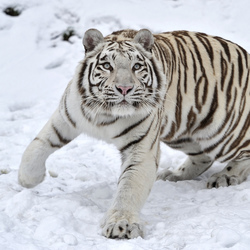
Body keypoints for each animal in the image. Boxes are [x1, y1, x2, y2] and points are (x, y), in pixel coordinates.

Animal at [19, 28, 250, 239]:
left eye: (136, 66)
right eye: (107, 66)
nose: (124, 88)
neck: (105, 114)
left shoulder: (141, 148)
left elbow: (129, 188)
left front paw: (121, 225)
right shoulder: (66, 117)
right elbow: (37, 145)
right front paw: (28, 180)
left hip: (221, 132)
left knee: (243, 151)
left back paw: (225, 176)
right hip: (182, 132)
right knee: (203, 157)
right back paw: (174, 175)